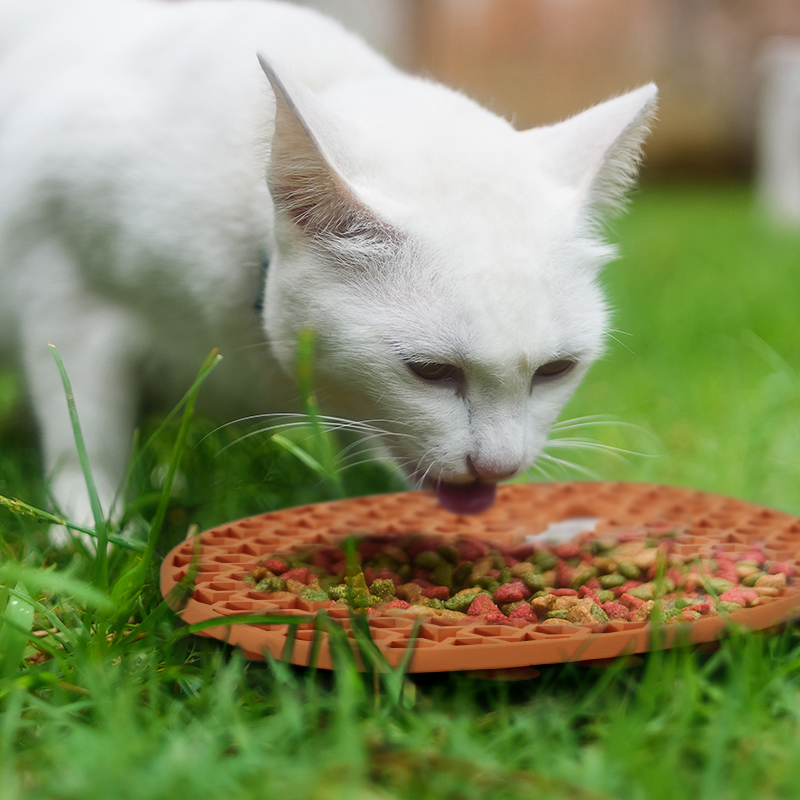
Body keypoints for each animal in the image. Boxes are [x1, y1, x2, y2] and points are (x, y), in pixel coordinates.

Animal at [0, 1, 656, 532]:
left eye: (556, 370)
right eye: (430, 372)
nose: (498, 466)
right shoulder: (63, 292)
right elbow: (85, 432)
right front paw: (93, 531)